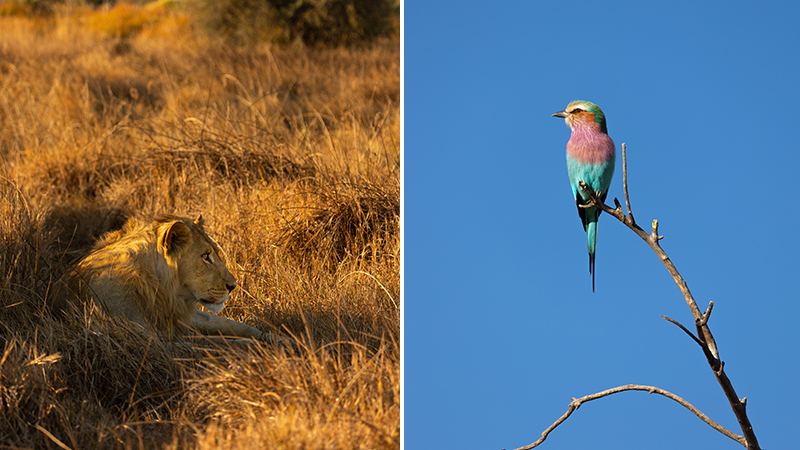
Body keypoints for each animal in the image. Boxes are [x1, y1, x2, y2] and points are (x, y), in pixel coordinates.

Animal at [55, 214, 273, 343]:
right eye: (206, 256)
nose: (233, 286)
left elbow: (228, 331)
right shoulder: (148, 339)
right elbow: (215, 344)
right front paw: (256, 348)